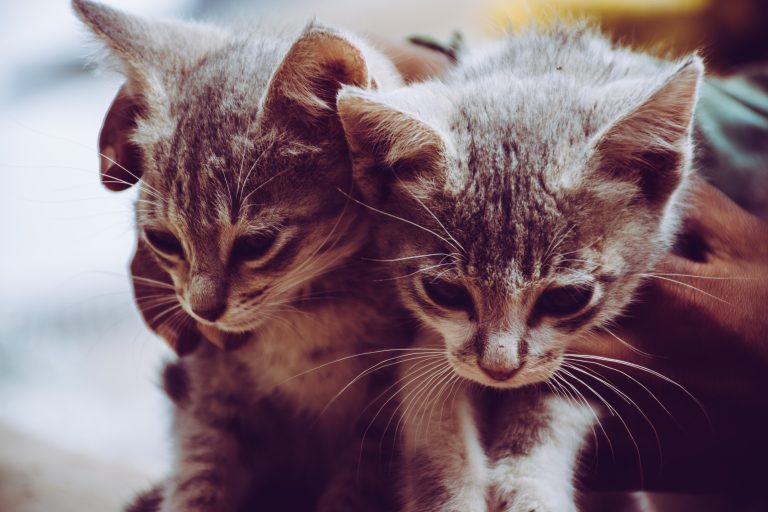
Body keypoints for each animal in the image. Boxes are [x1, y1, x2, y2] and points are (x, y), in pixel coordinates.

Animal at [72, 2, 414, 510]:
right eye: (163, 240)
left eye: (256, 244)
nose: (203, 309)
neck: (306, 318)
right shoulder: (210, 392)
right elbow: (198, 474)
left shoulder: (381, 417)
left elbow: (354, 490)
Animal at [336, 24, 704, 512]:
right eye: (445, 292)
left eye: (566, 298)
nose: (499, 370)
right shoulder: (430, 343)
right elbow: (433, 416)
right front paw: (453, 494)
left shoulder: (598, 351)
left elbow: (551, 410)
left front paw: (531, 488)